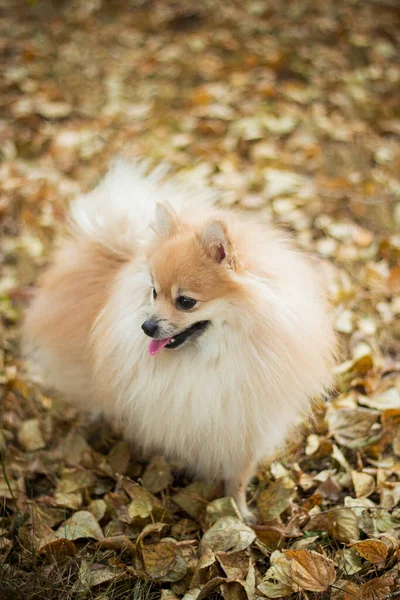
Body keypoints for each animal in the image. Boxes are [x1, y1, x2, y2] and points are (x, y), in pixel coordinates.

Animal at [23, 158, 336, 520]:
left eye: (185, 301)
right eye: (154, 292)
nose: (146, 327)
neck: (215, 356)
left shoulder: (245, 424)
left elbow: (238, 477)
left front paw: (239, 513)